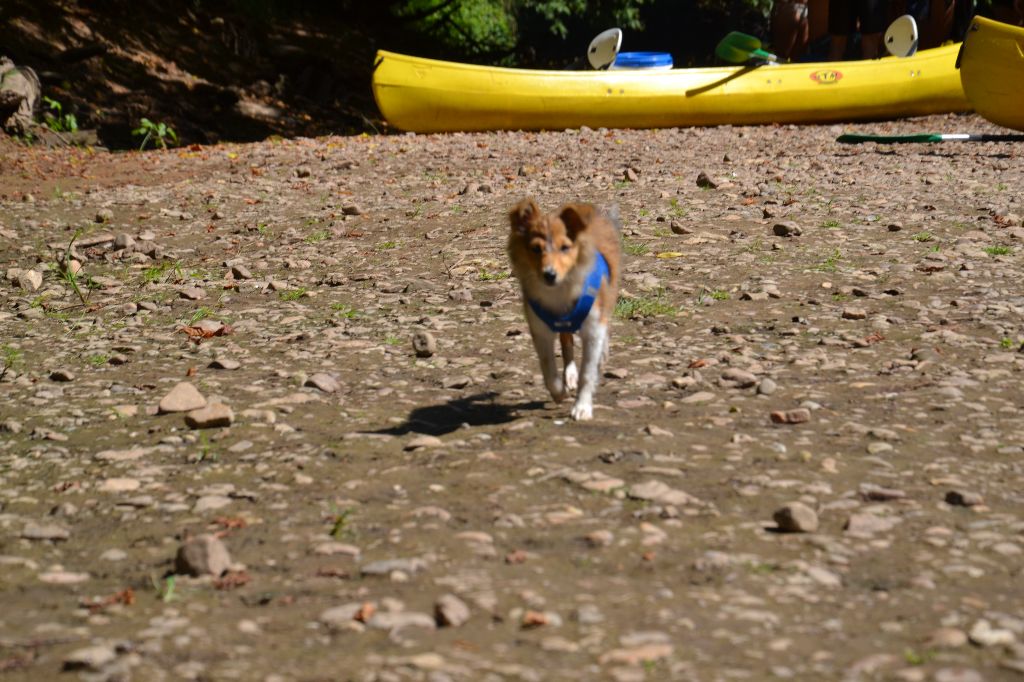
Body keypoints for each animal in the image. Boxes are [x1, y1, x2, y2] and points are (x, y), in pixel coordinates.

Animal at [505, 196, 618, 419]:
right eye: (536, 249)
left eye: (565, 247)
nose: (549, 275)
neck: (560, 291)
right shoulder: (540, 329)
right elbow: (548, 368)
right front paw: (559, 392)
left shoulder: (594, 326)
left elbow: (588, 372)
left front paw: (582, 407)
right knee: (567, 344)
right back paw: (570, 375)